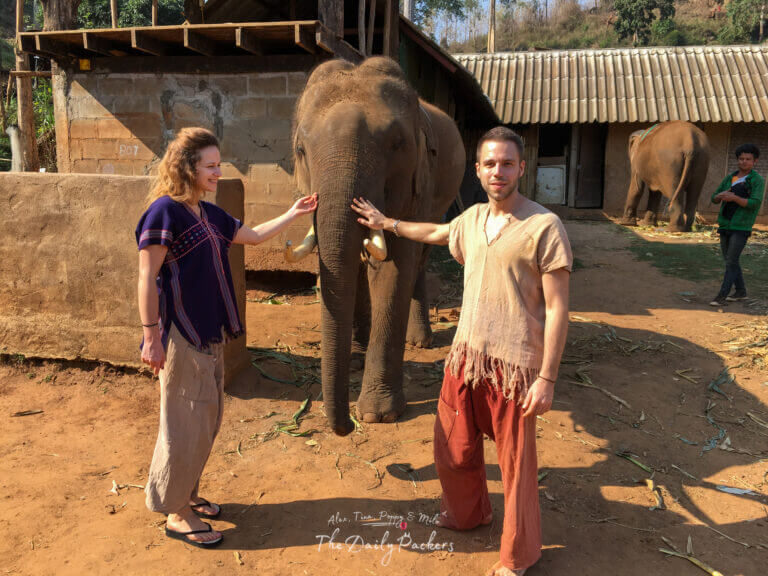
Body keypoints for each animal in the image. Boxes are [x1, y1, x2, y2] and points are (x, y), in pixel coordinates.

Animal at [285, 57, 465, 436]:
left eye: (397, 144)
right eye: (300, 151)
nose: (347, 427)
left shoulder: (418, 180)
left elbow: (394, 268)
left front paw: (378, 415)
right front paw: (354, 357)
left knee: (421, 257)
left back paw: (419, 342)